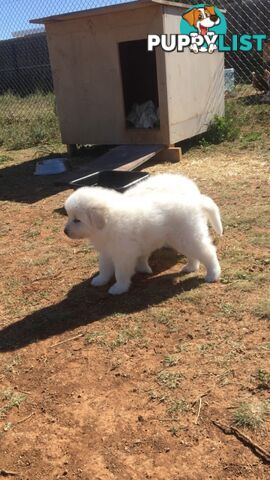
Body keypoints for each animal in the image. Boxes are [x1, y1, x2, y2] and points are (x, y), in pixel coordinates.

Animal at [64, 179, 223, 294]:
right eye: (69, 216)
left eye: (77, 220)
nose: (65, 231)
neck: (107, 223)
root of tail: (196, 202)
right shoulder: (107, 251)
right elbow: (104, 268)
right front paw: (100, 280)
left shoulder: (123, 254)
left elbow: (120, 273)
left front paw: (119, 288)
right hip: (183, 238)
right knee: (194, 254)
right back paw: (191, 267)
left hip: (187, 236)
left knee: (208, 252)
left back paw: (213, 274)